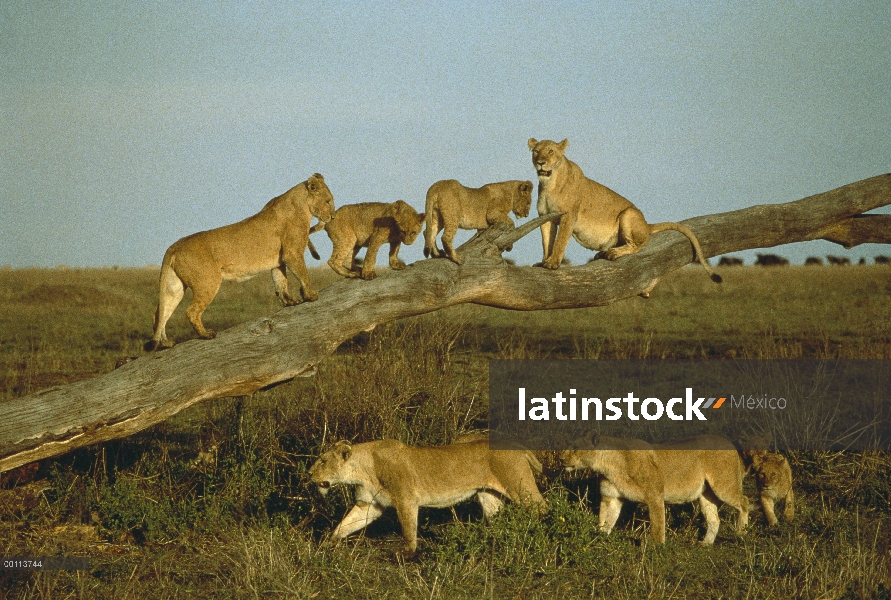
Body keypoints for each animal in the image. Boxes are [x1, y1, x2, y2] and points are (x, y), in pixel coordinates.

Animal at [146, 172, 334, 352]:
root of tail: (174, 246)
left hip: (174, 286)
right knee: (190, 311)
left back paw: (166, 343)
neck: (301, 205)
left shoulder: (279, 261)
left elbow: (280, 282)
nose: (332, 217)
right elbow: (303, 275)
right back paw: (206, 334)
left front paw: (289, 302)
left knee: (160, 314)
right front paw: (310, 295)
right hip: (208, 281)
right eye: (328, 201)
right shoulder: (292, 253)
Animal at [310, 438, 548, 556]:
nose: (309, 473)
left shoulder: (406, 499)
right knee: (495, 517)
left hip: (519, 486)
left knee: (542, 507)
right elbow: (346, 524)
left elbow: (408, 528)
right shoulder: (369, 505)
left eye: (322, 461)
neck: (362, 469)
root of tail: (519, 447)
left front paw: (407, 554)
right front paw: (327, 543)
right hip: (488, 495)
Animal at [528, 138, 720, 284]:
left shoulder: (569, 216)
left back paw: (613, 253)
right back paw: (604, 252)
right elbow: (547, 241)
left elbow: (560, 241)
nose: (540, 163)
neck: (550, 184)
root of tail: (647, 225)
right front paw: (544, 261)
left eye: (551, 151)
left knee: (638, 246)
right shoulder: (545, 217)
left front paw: (553, 263)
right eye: (536, 151)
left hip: (628, 214)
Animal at [564, 436, 744, 544]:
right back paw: (706, 544)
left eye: (575, 448)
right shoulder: (611, 497)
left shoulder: (655, 496)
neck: (608, 465)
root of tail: (729, 442)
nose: (561, 458)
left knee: (744, 502)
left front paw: (657, 550)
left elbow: (657, 526)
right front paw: (600, 540)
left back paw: (742, 533)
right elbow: (605, 520)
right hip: (706, 495)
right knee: (715, 519)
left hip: (723, 486)